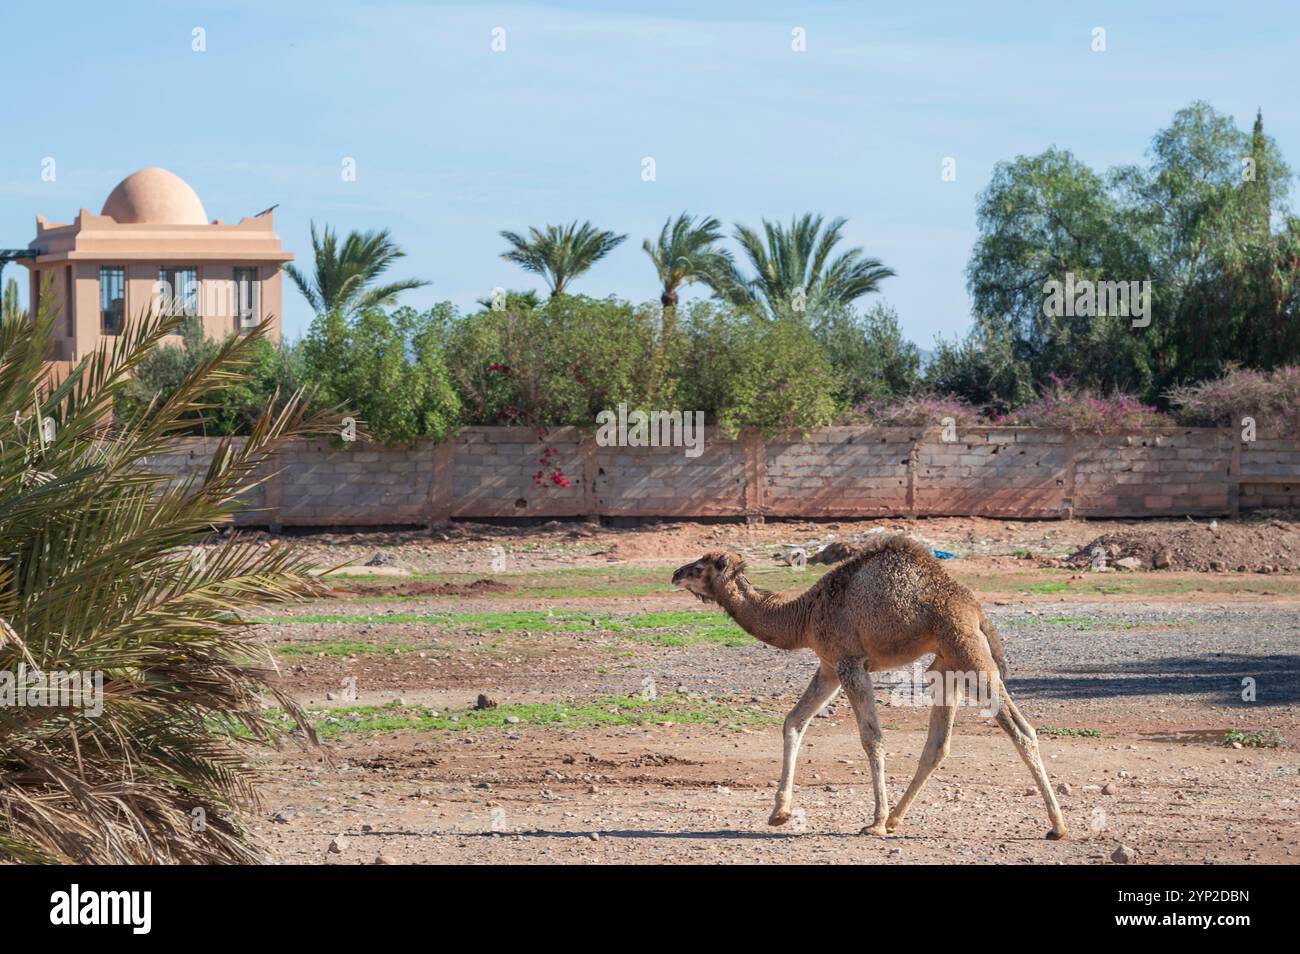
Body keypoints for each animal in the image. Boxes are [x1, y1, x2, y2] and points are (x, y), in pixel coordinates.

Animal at [670, 535, 1066, 842]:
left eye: (700, 567)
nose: (675, 573)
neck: (804, 615)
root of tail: (977, 611)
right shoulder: (829, 666)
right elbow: (794, 722)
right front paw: (779, 813)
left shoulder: (850, 662)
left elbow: (871, 737)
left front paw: (873, 823)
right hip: (947, 664)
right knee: (938, 744)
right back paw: (896, 819)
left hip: (967, 652)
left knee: (1022, 729)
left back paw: (1057, 826)